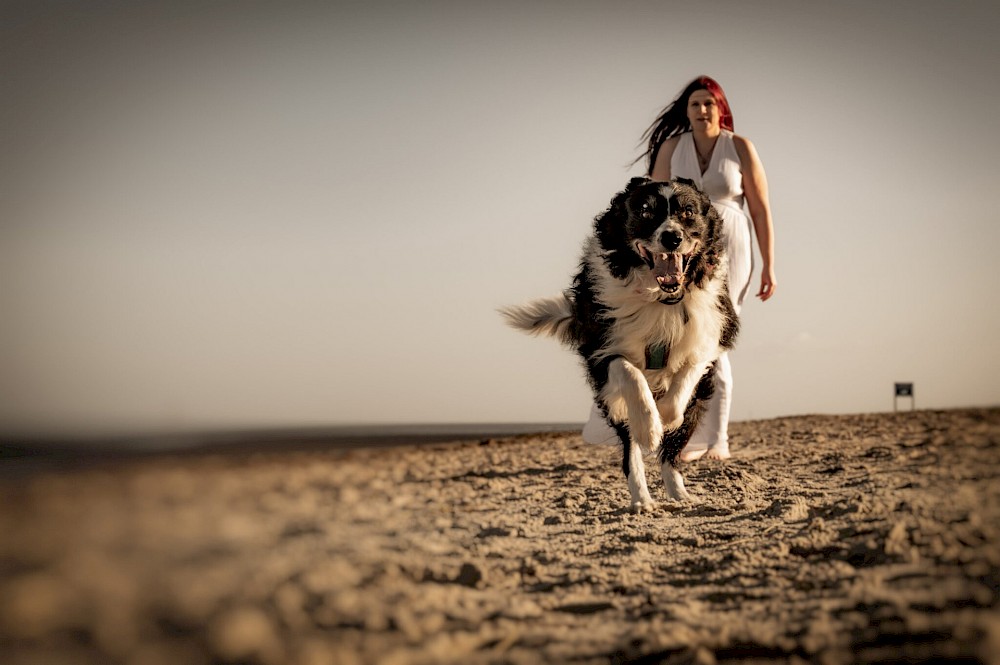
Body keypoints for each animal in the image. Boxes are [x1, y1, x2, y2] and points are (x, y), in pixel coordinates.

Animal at [504, 178, 740, 512]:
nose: (672, 238)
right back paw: (642, 498)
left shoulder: (713, 333)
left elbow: (688, 373)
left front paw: (666, 415)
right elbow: (629, 372)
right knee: (632, 454)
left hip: (698, 404)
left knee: (672, 454)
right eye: (644, 211)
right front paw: (649, 426)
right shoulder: (600, 348)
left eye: (688, 212)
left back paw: (678, 493)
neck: (662, 299)